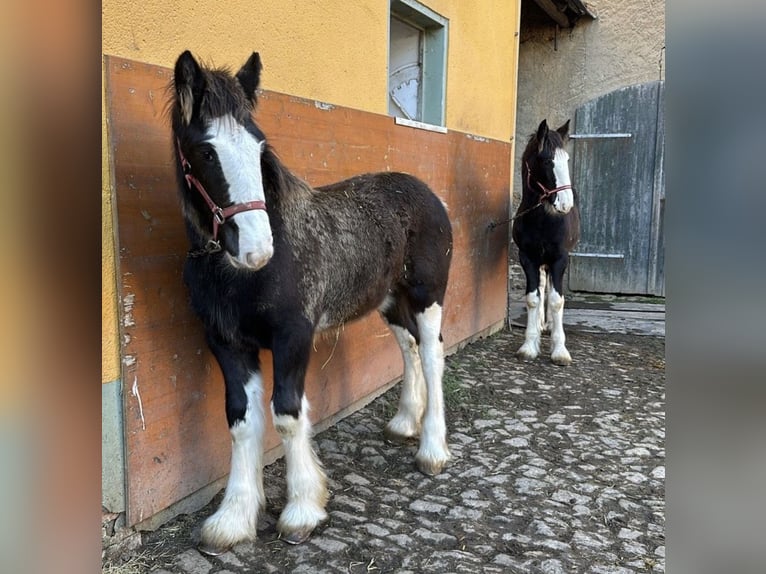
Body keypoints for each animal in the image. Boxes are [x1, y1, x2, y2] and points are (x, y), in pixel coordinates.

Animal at [169, 50, 453, 555]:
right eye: (206, 152)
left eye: (260, 148)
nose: (257, 248)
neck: (241, 276)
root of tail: (431, 194)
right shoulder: (227, 344)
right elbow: (241, 421)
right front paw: (233, 518)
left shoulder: (293, 338)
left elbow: (286, 415)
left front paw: (303, 510)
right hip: (389, 301)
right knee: (410, 349)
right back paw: (404, 423)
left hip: (426, 296)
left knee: (433, 354)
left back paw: (432, 449)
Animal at [511, 119, 580, 366]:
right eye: (547, 161)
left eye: (566, 160)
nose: (566, 203)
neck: (544, 220)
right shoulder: (527, 258)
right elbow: (533, 298)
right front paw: (529, 345)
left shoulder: (560, 259)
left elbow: (557, 300)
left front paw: (560, 350)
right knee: (542, 285)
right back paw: (542, 323)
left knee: (550, 289)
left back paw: (550, 324)